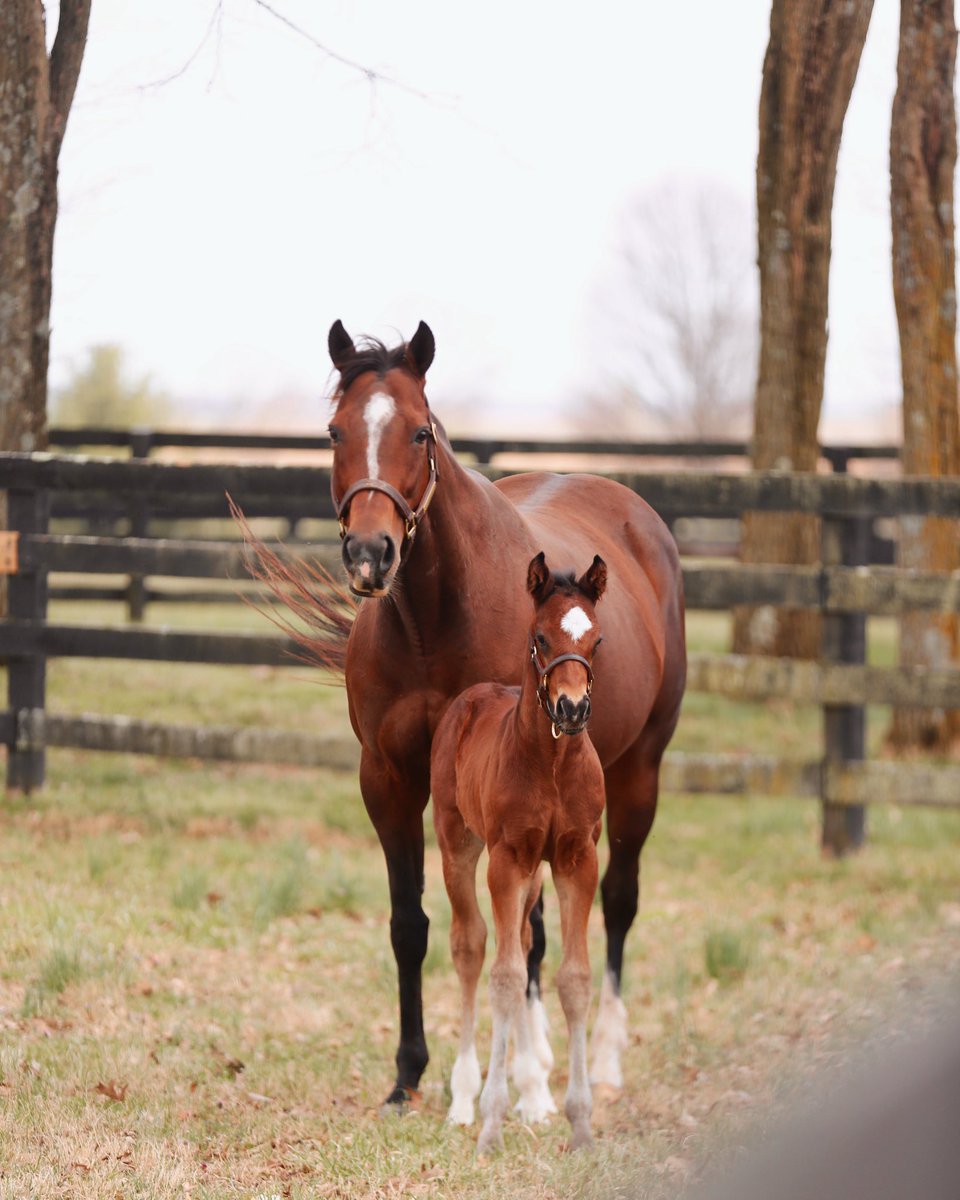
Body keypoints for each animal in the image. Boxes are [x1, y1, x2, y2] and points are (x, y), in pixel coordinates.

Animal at [434, 552, 607, 1152]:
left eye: (598, 640)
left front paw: (580, 1123)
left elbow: (573, 979)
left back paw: (532, 1093)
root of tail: (472, 694)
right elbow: (504, 977)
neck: (551, 764)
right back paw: (465, 1099)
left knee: (527, 943)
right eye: (539, 637)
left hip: (535, 870)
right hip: (458, 842)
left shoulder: (577, 859)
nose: (573, 708)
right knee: (470, 945)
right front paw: (490, 1121)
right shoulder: (506, 859)